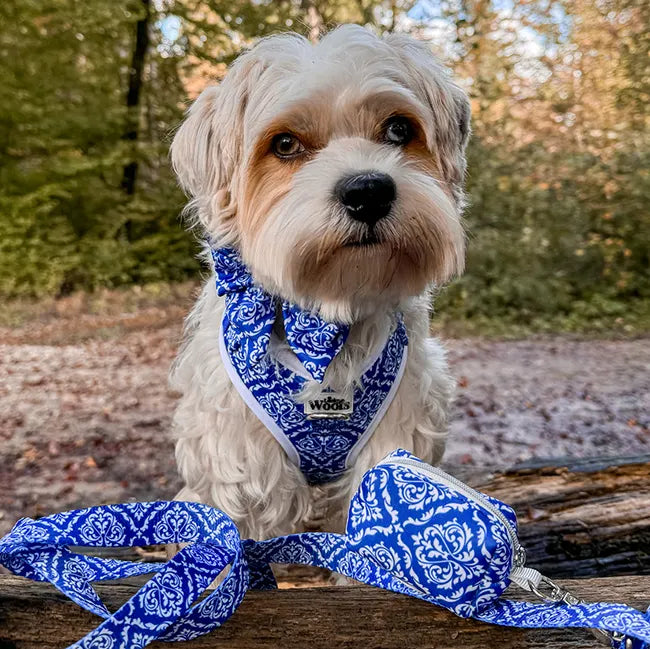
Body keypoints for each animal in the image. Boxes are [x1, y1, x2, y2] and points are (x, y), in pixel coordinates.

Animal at [170, 24, 468, 540]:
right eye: (285, 144)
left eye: (399, 129)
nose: (368, 191)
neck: (327, 316)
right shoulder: (243, 460)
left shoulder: (397, 432)